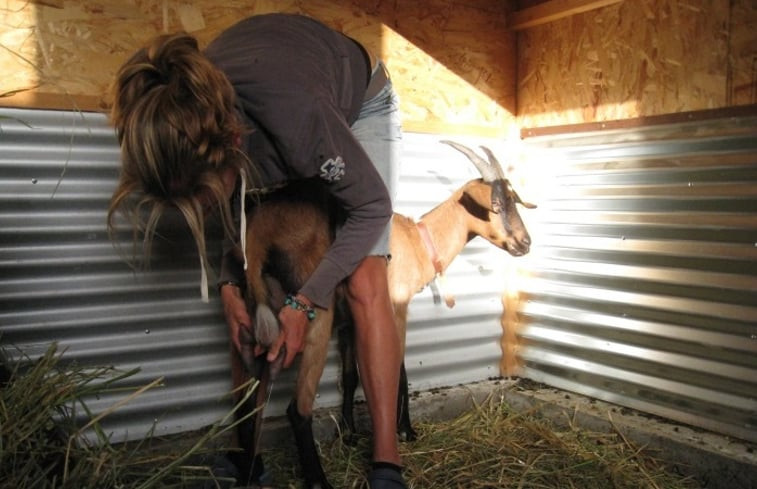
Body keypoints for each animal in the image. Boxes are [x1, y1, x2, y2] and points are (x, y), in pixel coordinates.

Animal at [233, 140, 536, 488]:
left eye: (514, 200)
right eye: (496, 205)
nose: (524, 244)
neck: (419, 239)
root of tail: (258, 234)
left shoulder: (350, 319)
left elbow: (351, 376)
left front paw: (350, 433)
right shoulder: (397, 303)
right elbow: (398, 367)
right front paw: (405, 430)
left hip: (257, 314)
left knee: (250, 403)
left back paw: (249, 472)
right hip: (313, 310)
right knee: (297, 408)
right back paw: (319, 480)